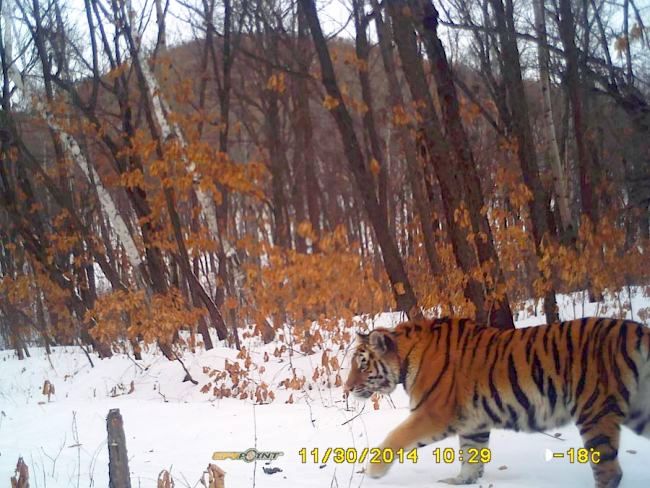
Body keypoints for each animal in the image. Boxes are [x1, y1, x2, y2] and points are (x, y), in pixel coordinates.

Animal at [344, 317, 650, 488]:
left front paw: (373, 471)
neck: (406, 358)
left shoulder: (432, 413)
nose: (346, 388)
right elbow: (471, 454)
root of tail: (637, 330)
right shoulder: (472, 422)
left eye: (362, 364)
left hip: (594, 410)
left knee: (609, 472)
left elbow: (396, 436)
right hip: (639, 410)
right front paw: (460, 482)